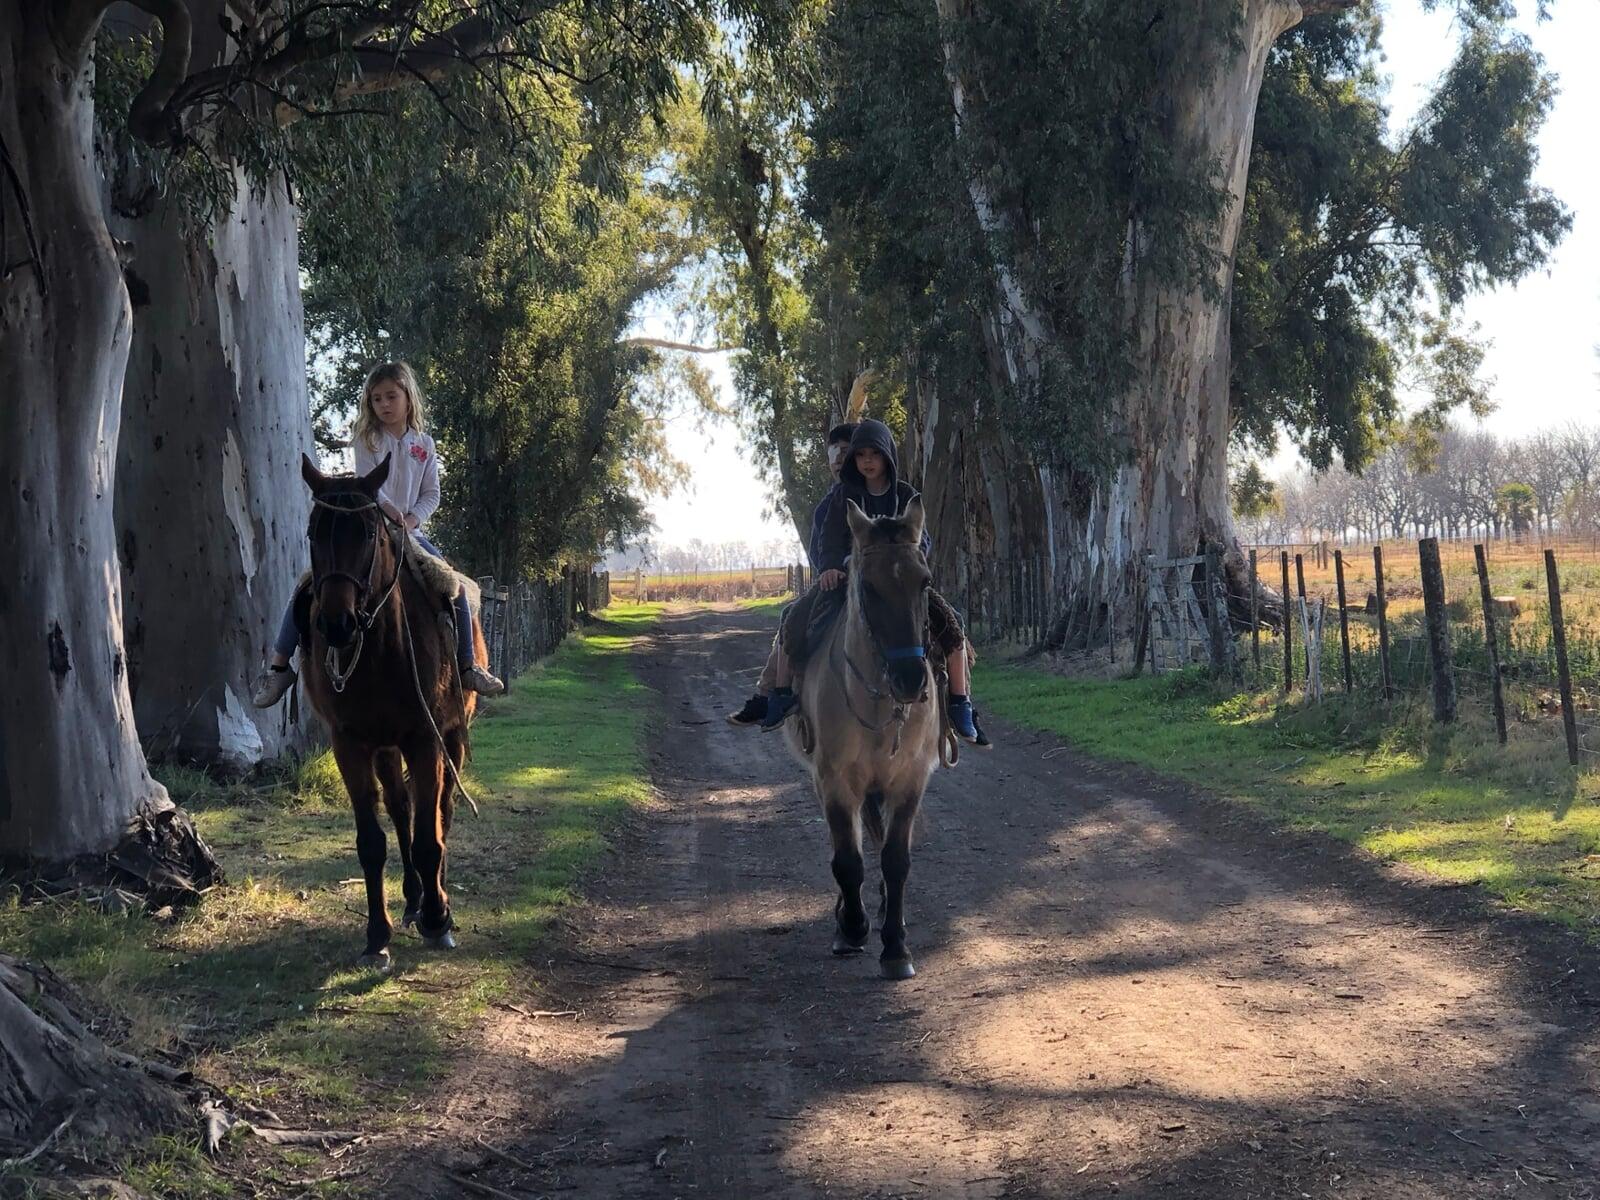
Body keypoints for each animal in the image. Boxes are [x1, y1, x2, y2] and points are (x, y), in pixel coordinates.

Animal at [296, 454, 480, 972]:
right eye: (313, 532)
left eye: (369, 534)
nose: (336, 625)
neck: (380, 653)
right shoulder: (351, 744)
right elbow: (372, 842)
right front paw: (377, 935)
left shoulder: (426, 738)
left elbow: (429, 835)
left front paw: (439, 919)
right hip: (385, 747)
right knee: (401, 809)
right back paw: (414, 898)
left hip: (451, 738)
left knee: (440, 812)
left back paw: (435, 898)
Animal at [784, 499, 934, 979]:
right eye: (867, 586)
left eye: (924, 581)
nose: (910, 679)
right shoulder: (834, 781)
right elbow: (847, 859)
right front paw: (851, 928)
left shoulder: (909, 780)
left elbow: (895, 858)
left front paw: (896, 947)